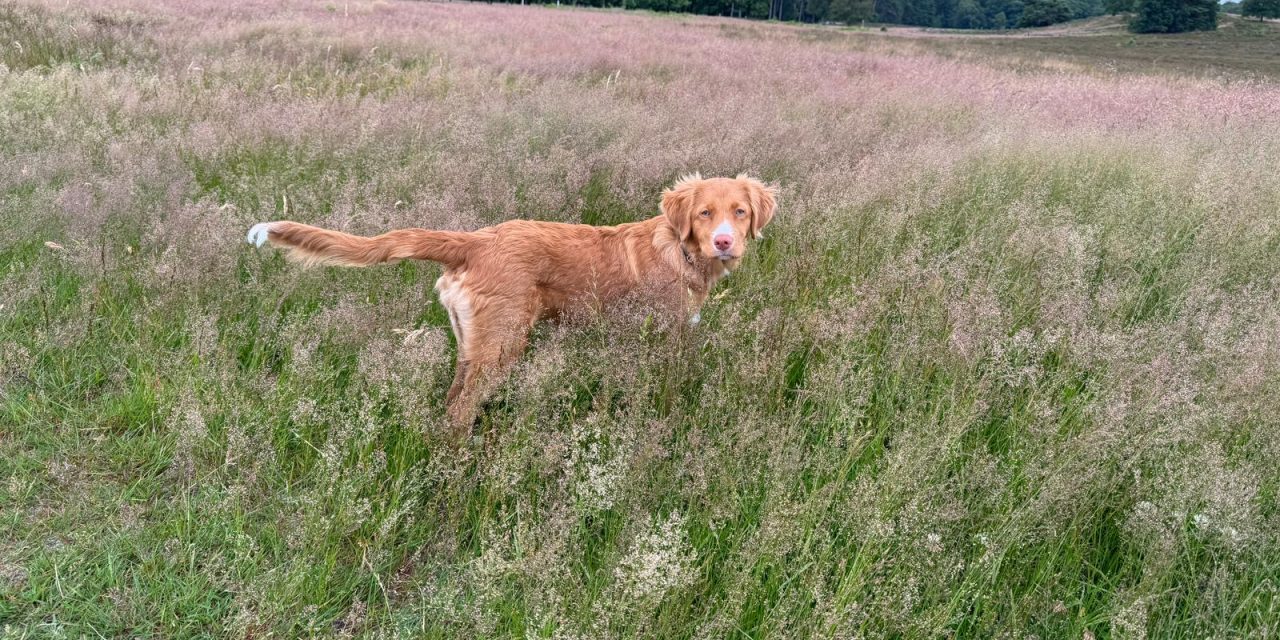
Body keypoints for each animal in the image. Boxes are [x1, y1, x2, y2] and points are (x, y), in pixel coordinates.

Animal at [244, 174, 773, 430]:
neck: (680, 250)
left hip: (474, 346)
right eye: (704, 213)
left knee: (451, 403)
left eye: (739, 212)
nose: (725, 242)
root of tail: (475, 240)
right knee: (460, 410)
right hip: (503, 346)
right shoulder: (656, 340)